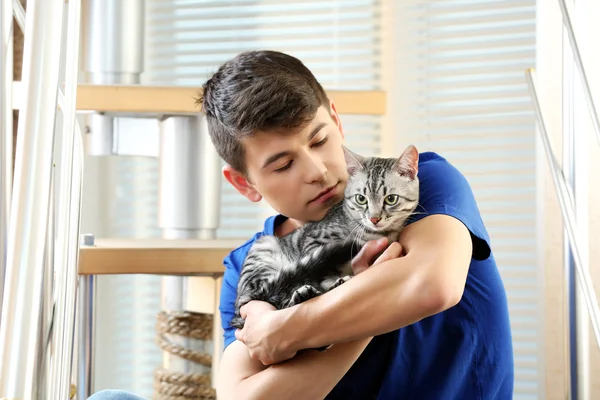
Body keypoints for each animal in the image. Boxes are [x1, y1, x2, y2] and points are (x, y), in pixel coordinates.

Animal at [231, 145, 422, 330]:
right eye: (361, 199)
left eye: (391, 199)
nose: (374, 219)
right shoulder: (313, 241)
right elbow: (324, 271)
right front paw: (334, 282)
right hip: (263, 254)